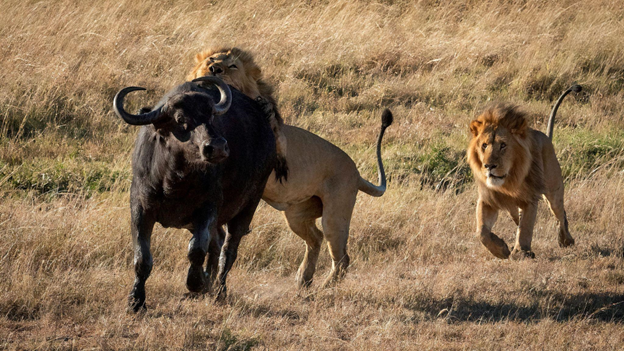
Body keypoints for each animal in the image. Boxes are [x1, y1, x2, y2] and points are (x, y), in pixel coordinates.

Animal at [114, 77, 276, 314]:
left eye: (210, 115)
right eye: (180, 119)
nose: (217, 147)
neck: (174, 179)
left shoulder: (208, 208)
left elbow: (197, 249)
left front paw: (196, 282)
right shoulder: (140, 207)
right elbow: (142, 258)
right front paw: (136, 301)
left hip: (248, 205)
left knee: (228, 251)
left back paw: (219, 292)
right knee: (217, 242)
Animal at [189, 47, 394, 288]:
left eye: (232, 66)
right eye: (210, 60)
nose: (214, 69)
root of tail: (357, 172)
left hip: (335, 214)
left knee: (342, 257)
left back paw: (323, 289)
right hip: (297, 214)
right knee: (316, 238)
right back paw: (303, 278)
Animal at [468, 84, 580, 262]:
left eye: (503, 145)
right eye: (484, 145)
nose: (488, 166)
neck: (508, 181)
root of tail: (545, 136)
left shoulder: (530, 198)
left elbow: (526, 227)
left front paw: (521, 252)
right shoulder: (487, 198)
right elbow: (482, 232)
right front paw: (501, 250)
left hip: (553, 190)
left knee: (559, 214)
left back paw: (565, 240)